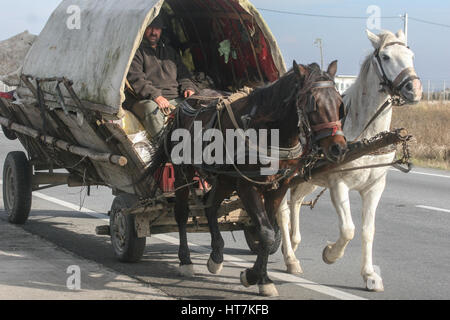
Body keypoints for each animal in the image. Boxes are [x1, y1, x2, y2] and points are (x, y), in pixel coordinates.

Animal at [142, 60, 346, 298]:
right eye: (313, 105)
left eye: (340, 104)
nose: (338, 148)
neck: (269, 129)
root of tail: (186, 103)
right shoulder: (247, 185)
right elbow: (266, 233)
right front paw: (253, 276)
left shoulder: (278, 187)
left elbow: (268, 231)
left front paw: (261, 278)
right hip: (183, 170)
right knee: (182, 213)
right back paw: (186, 261)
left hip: (224, 178)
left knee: (211, 206)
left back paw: (216, 256)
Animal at [276, 30, 424, 292]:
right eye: (385, 56)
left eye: (411, 55)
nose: (414, 88)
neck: (364, 136)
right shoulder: (338, 184)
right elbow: (348, 230)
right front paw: (330, 253)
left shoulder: (375, 187)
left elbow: (367, 230)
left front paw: (369, 274)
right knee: (283, 211)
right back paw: (291, 258)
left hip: (307, 179)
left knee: (296, 202)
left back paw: (292, 243)